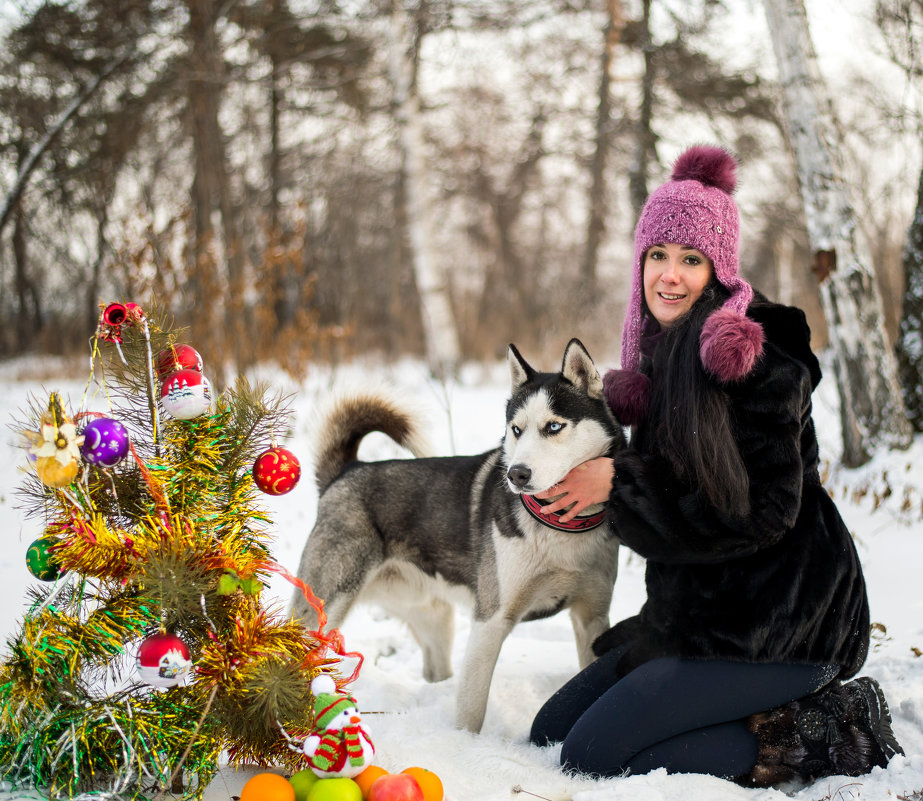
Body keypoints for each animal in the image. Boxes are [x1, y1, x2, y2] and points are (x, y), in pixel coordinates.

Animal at [292, 338, 624, 732]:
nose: (516, 474)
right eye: (516, 429)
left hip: (435, 618)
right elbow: (471, 708)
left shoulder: (592, 619)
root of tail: (347, 471)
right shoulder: (490, 621)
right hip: (326, 606)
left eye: (554, 427)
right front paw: (466, 742)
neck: (557, 525)